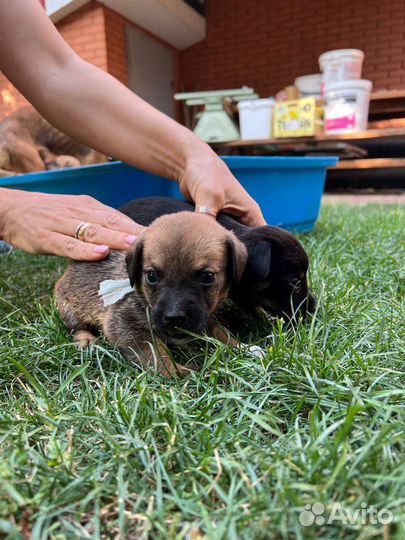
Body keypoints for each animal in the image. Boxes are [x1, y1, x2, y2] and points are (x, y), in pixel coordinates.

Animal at [55, 210, 248, 376]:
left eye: (207, 277)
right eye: (151, 275)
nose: (174, 317)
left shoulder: (204, 317)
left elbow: (220, 332)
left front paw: (242, 348)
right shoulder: (126, 325)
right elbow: (156, 354)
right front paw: (177, 372)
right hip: (69, 307)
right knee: (76, 327)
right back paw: (86, 340)